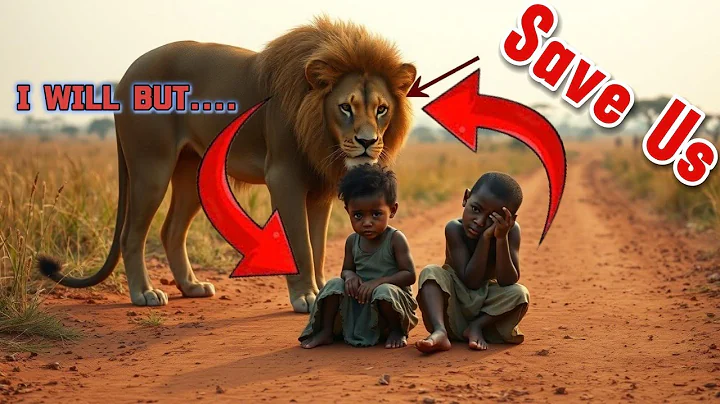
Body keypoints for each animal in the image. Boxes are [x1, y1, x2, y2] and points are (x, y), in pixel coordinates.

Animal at [37, 15, 417, 313]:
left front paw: (323, 289)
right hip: (151, 167)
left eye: (382, 109)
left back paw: (192, 287)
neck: (321, 132)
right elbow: (300, 244)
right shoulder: (283, 177)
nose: (367, 142)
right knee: (133, 233)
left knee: (171, 230)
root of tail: (128, 72)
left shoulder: (321, 187)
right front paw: (306, 298)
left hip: (192, 172)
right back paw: (144, 293)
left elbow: (319, 245)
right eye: (345, 107)